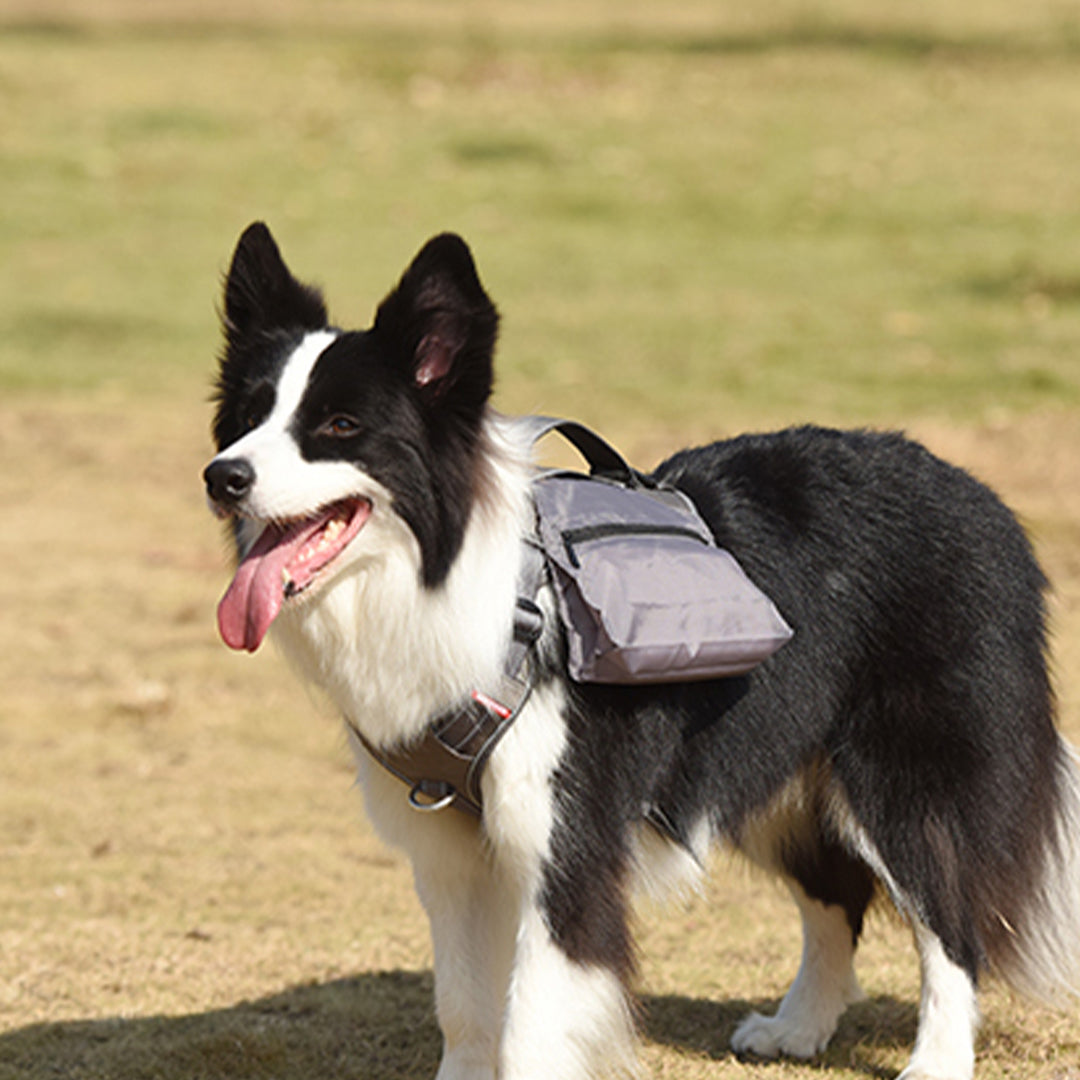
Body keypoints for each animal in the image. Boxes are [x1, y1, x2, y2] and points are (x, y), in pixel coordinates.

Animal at [204, 223, 1080, 1075]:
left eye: (339, 427)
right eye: (246, 416)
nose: (222, 477)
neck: (444, 576)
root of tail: (978, 495)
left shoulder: (566, 845)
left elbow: (528, 1029)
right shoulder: (448, 853)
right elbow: (464, 1011)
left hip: (905, 771)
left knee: (952, 920)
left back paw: (935, 1060)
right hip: (772, 763)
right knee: (836, 892)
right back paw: (797, 1028)